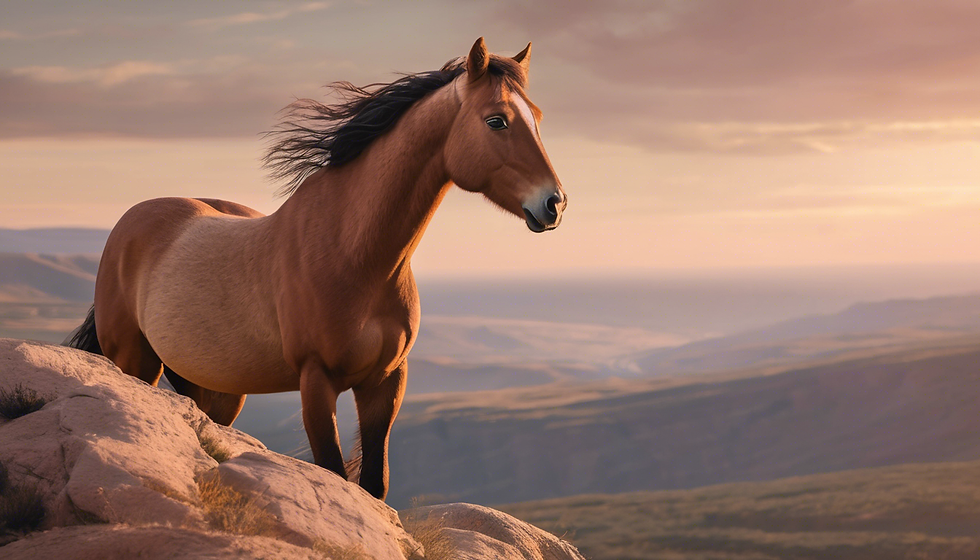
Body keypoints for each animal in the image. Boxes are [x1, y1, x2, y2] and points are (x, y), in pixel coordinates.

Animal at [67, 37, 566, 501]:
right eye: (497, 120)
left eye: (538, 117)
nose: (554, 203)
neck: (354, 254)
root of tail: (131, 222)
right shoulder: (316, 381)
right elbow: (334, 472)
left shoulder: (387, 381)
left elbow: (374, 484)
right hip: (134, 360)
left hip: (212, 387)